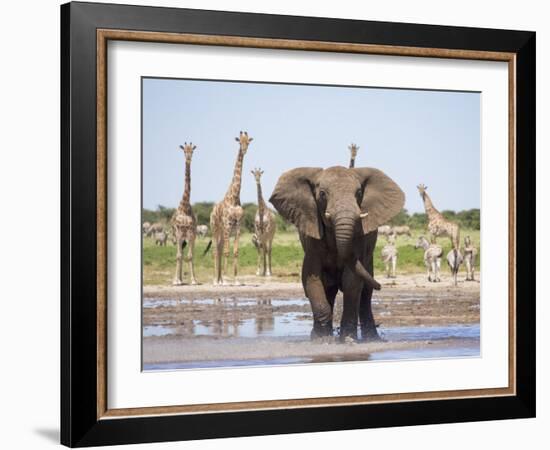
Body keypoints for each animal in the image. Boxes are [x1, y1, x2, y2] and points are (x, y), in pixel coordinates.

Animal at [210, 131, 256, 284]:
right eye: (239, 142)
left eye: (248, 142)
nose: (244, 150)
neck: (234, 197)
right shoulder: (228, 224)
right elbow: (227, 251)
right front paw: (225, 278)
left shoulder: (238, 226)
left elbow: (235, 252)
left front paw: (236, 279)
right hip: (215, 228)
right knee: (215, 250)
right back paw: (216, 279)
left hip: (222, 232)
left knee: (218, 249)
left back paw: (218, 278)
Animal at [270, 165, 406, 342]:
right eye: (322, 194)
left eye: (359, 193)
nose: (381, 286)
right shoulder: (312, 239)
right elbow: (311, 277)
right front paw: (321, 340)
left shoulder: (359, 238)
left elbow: (352, 280)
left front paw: (348, 340)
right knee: (329, 288)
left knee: (365, 293)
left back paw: (372, 339)